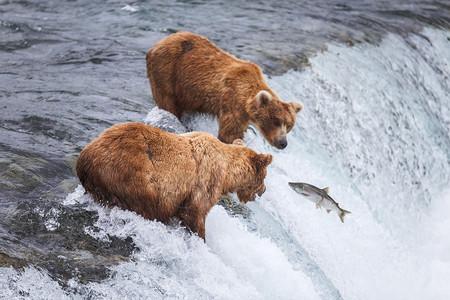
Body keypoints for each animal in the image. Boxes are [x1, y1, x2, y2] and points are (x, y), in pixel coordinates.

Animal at [76, 122, 272, 239]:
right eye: (264, 176)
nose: (264, 190)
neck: (227, 173)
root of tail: (85, 158)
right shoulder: (205, 180)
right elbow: (195, 213)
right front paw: (201, 238)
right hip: (132, 175)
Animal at [148, 30, 302, 150]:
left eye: (289, 125)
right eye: (276, 121)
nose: (282, 143)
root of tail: (161, 41)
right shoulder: (233, 103)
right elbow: (229, 134)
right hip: (167, 71)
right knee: (167, 101)